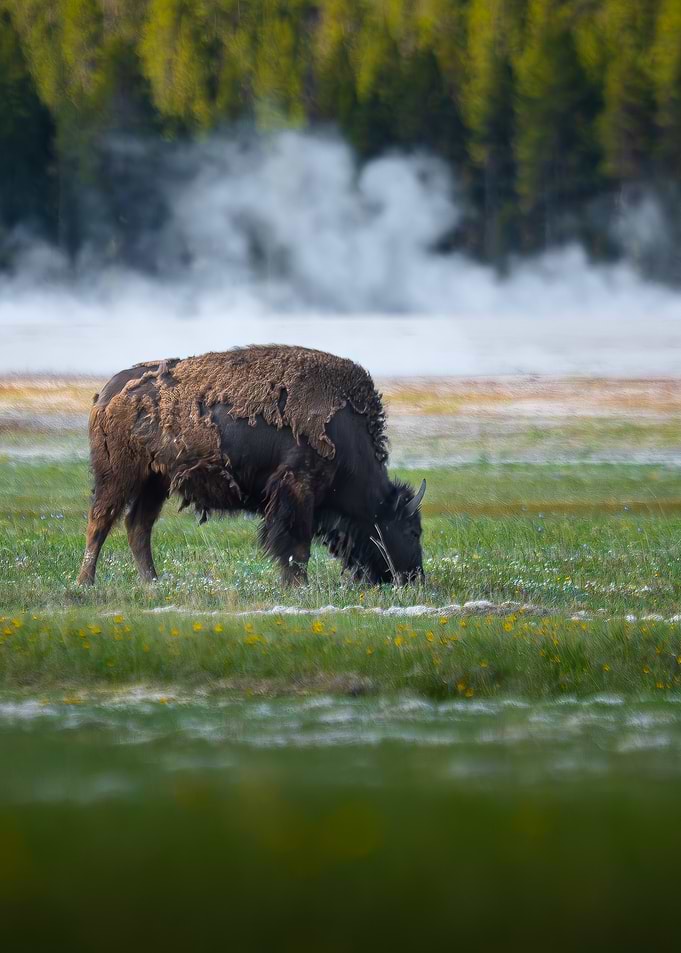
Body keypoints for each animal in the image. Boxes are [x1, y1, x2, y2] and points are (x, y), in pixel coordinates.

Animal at [78, 345, 425, 587]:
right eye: (412, 530)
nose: (415, 578)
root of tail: (106, 392)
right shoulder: (297, 491)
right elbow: (297, 547)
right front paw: (299, 586)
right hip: (118, 477)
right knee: (101, 522)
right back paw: (87, 583)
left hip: (156, 483)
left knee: (138, 526)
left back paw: (152, 582)